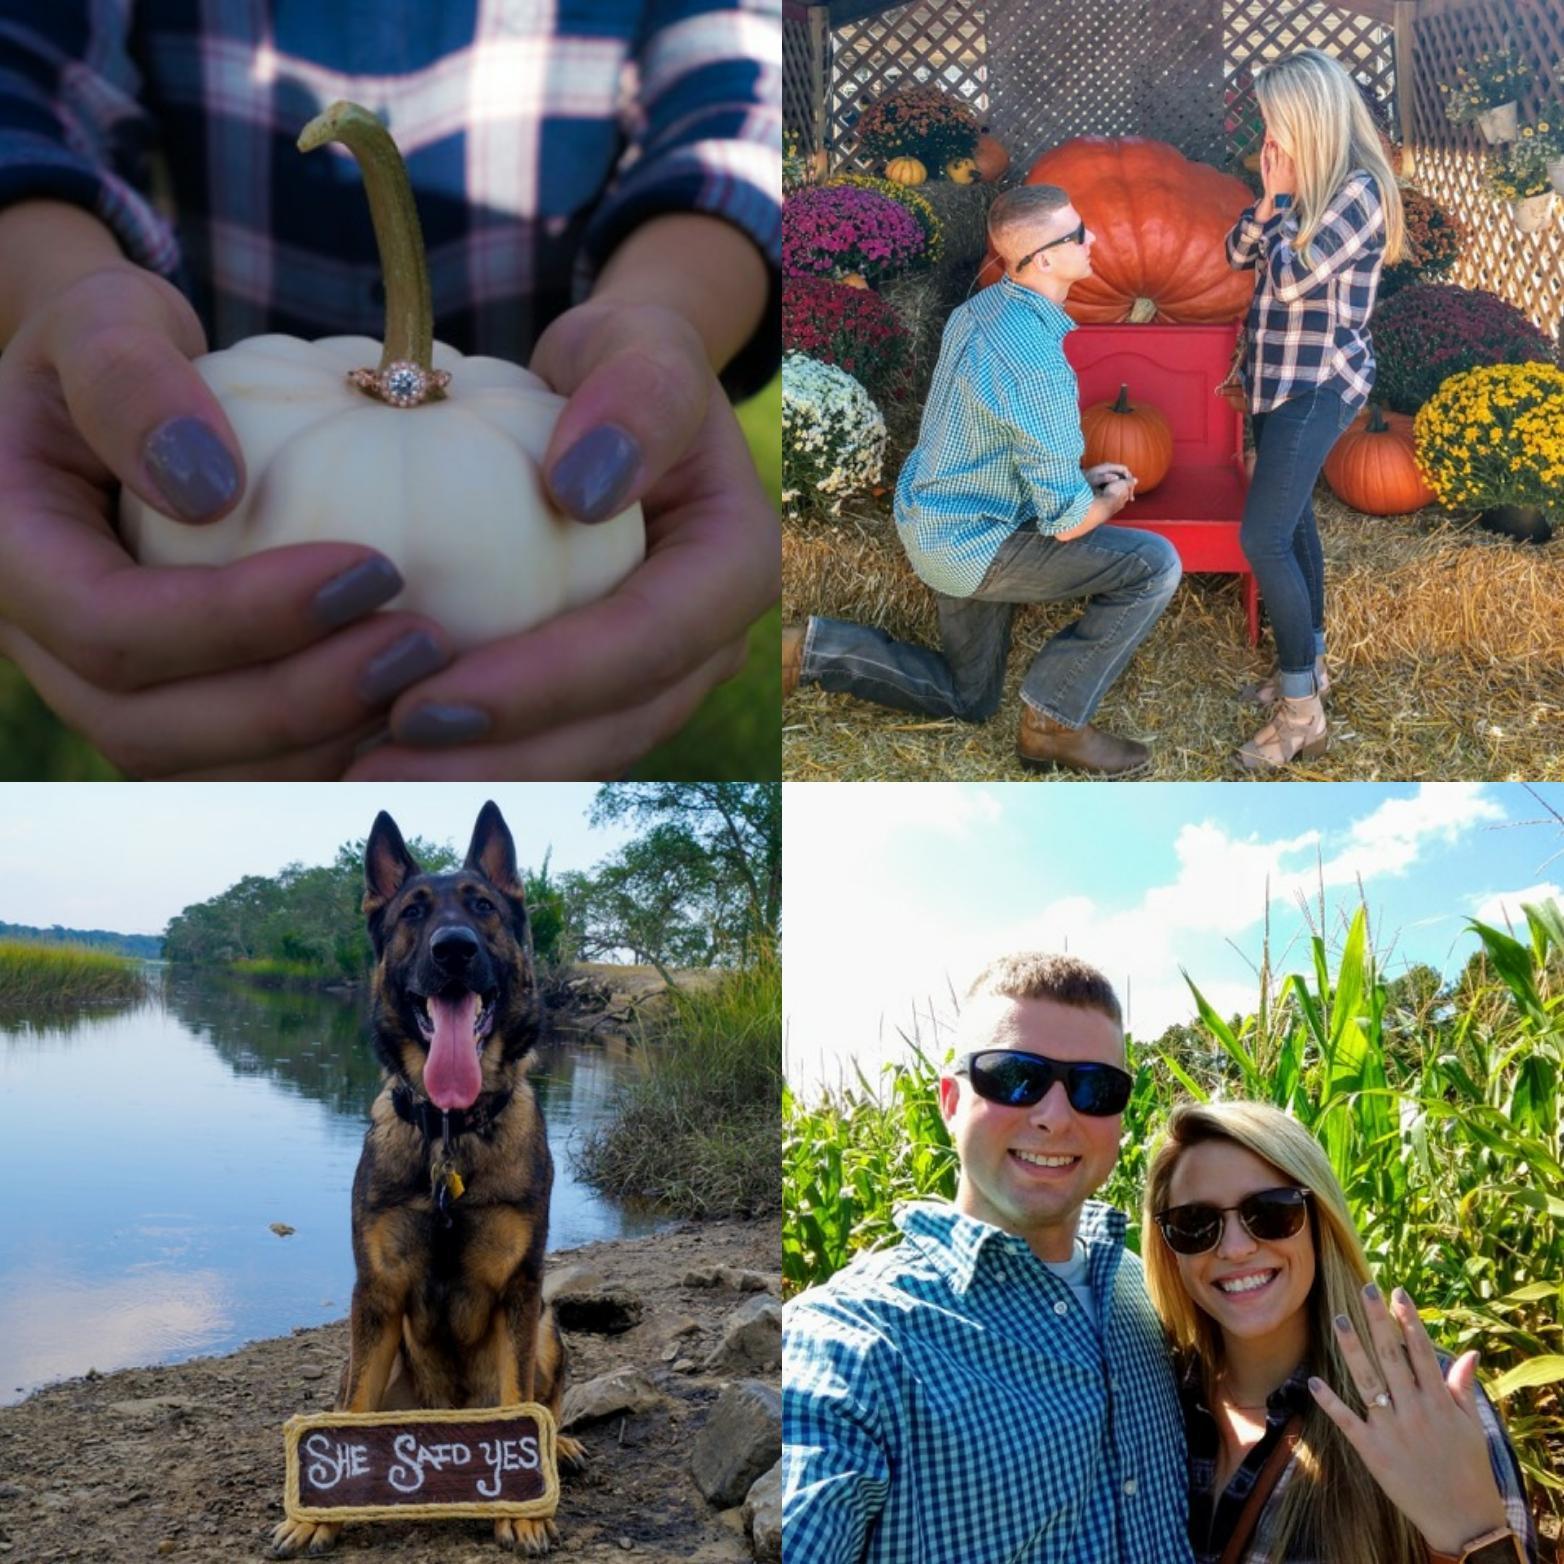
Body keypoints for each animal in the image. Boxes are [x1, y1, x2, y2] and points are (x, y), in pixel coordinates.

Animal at [272, 800, 584, 1557]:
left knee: (548, 1399)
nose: (454, 949)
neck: (449, 1135)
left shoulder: (519, 1293)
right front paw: (318, 1513)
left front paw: (525, 1507)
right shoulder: (377, 1294)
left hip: (549, 1326)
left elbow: (520, 1397)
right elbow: (352, 1410)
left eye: (482, 907)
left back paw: (561, 1448)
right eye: (413, 912)